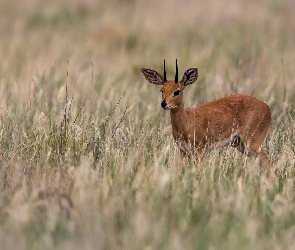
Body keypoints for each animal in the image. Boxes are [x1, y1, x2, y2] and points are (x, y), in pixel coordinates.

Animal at [141, 59, 272, 168]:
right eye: (162, 90)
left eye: (177, 91)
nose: (164, 104)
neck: (186, 122)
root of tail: (267, 107)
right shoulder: (183, 151)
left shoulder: (201, 150)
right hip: (240, 144)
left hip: (253, 142)